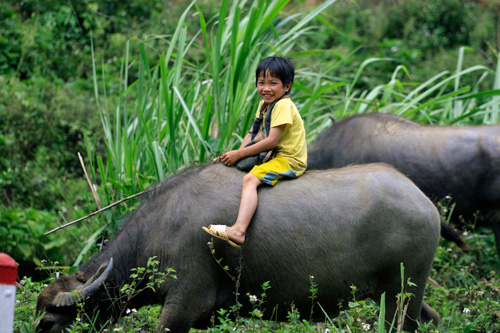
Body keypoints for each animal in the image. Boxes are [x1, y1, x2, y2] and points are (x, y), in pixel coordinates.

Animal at [36, 162, 442, 330]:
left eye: (47, 324)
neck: (160, 229)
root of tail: (424, 200)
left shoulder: (185, 301)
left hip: (400, 295)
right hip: (402, 293)